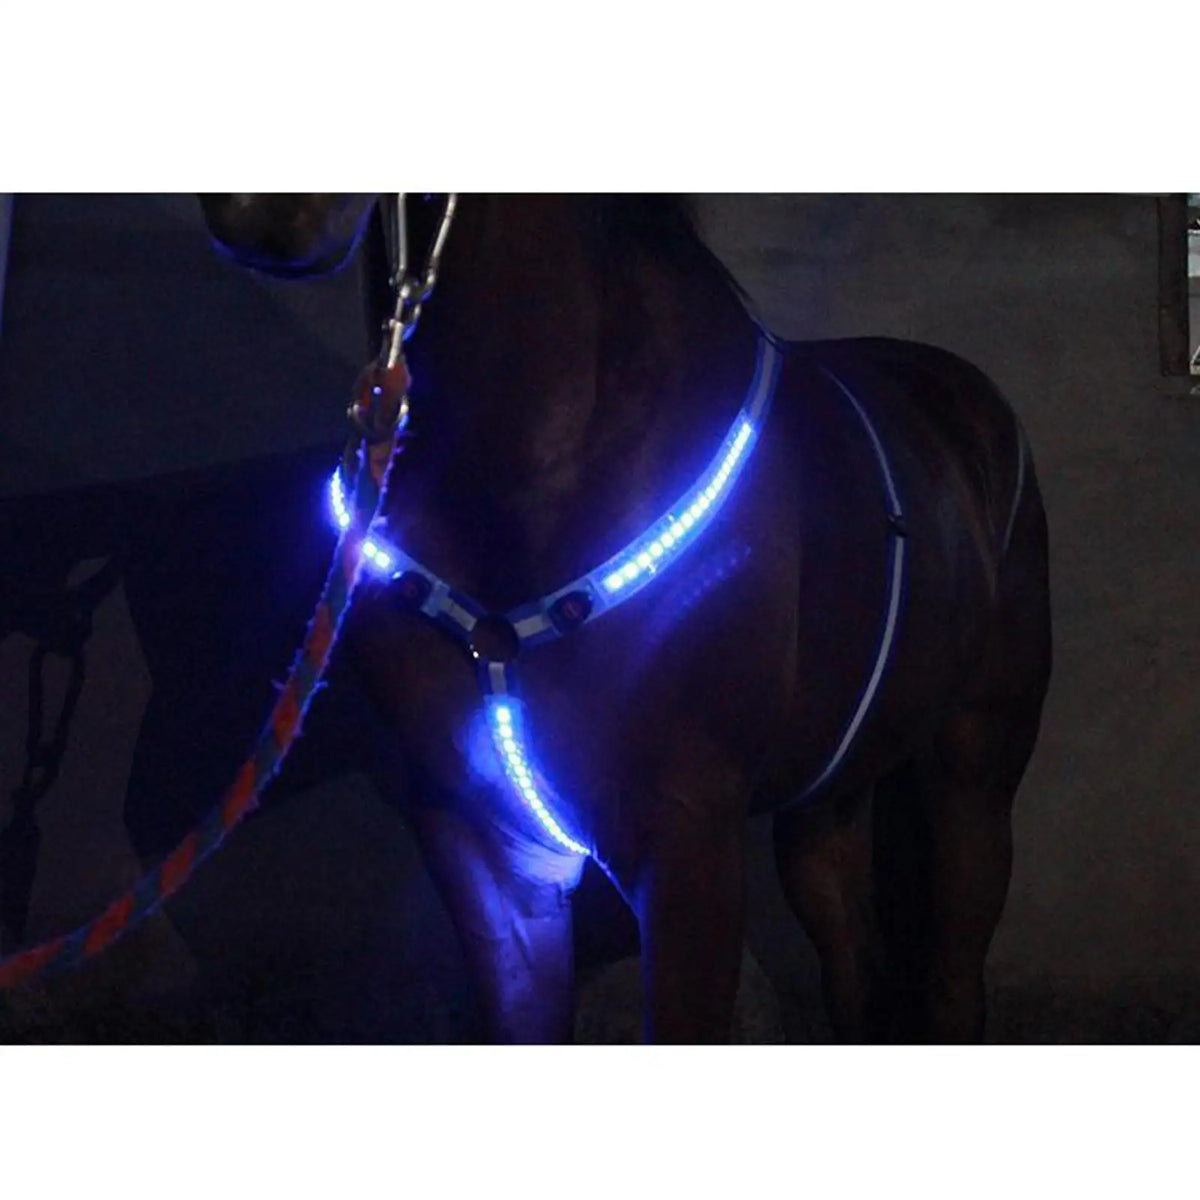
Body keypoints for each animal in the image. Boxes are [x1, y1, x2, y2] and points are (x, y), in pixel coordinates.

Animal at [198, 193, 1052, 1043]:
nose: (263, 214)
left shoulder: (687, 843)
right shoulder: (488, 849)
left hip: (975, 775)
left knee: (953, 980)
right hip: (828, 799)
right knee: (854, 963)